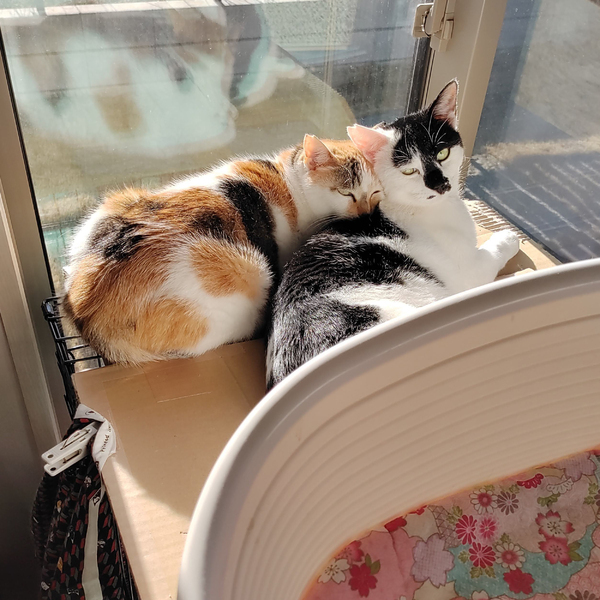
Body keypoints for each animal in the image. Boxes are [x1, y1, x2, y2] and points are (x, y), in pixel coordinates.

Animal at [63, 134, 383, 364]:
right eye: (346, 193)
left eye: (376, 192)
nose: (366, 213)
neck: (291, 184)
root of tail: (86, 308)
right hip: (250, 272)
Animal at [266, 80, 521, 389]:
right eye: (409, 170)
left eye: (442, 154)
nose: (440, 185)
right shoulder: (470, 272)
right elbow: (494, 249)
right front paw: (509, 236)